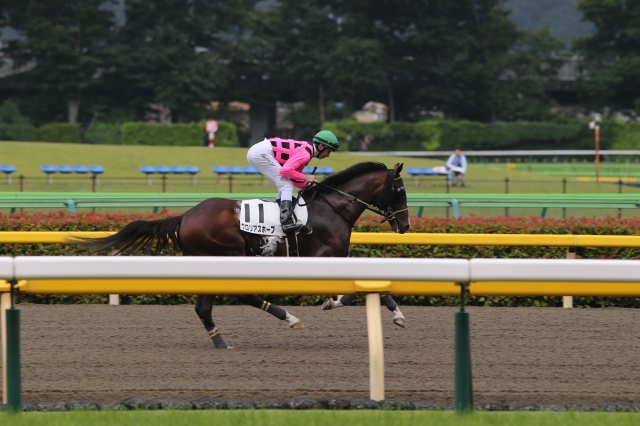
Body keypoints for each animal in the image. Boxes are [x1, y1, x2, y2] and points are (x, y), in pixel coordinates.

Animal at [78, 161, 411, 349]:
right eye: (400, 192)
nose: (406, 226)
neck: (332, 209)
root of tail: (185, 216)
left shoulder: (339, 257)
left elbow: (375, 286)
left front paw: (397, 314)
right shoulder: (322, 259)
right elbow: (354, 292)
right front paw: (335, 302)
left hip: (209, 261)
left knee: (204, 308)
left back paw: (221, 342)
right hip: (228, 253)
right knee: (243, 294)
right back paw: (288, 317)